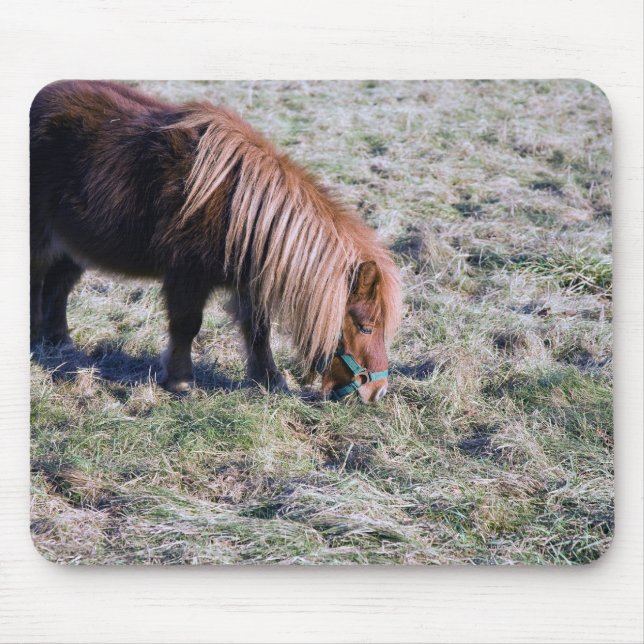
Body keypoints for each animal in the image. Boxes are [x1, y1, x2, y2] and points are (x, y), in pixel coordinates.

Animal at [30, 80, 401, 403]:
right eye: (366, 328)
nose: (378, 392)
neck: (239, 210)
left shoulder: (250, 282)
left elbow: (258, 329)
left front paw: (269, 380)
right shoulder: (186, 277)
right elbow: (187, 325)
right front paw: (180, 381)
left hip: (74, 243)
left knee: (58, 285)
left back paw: (60, 343)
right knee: (37, 282)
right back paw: (36, 342)